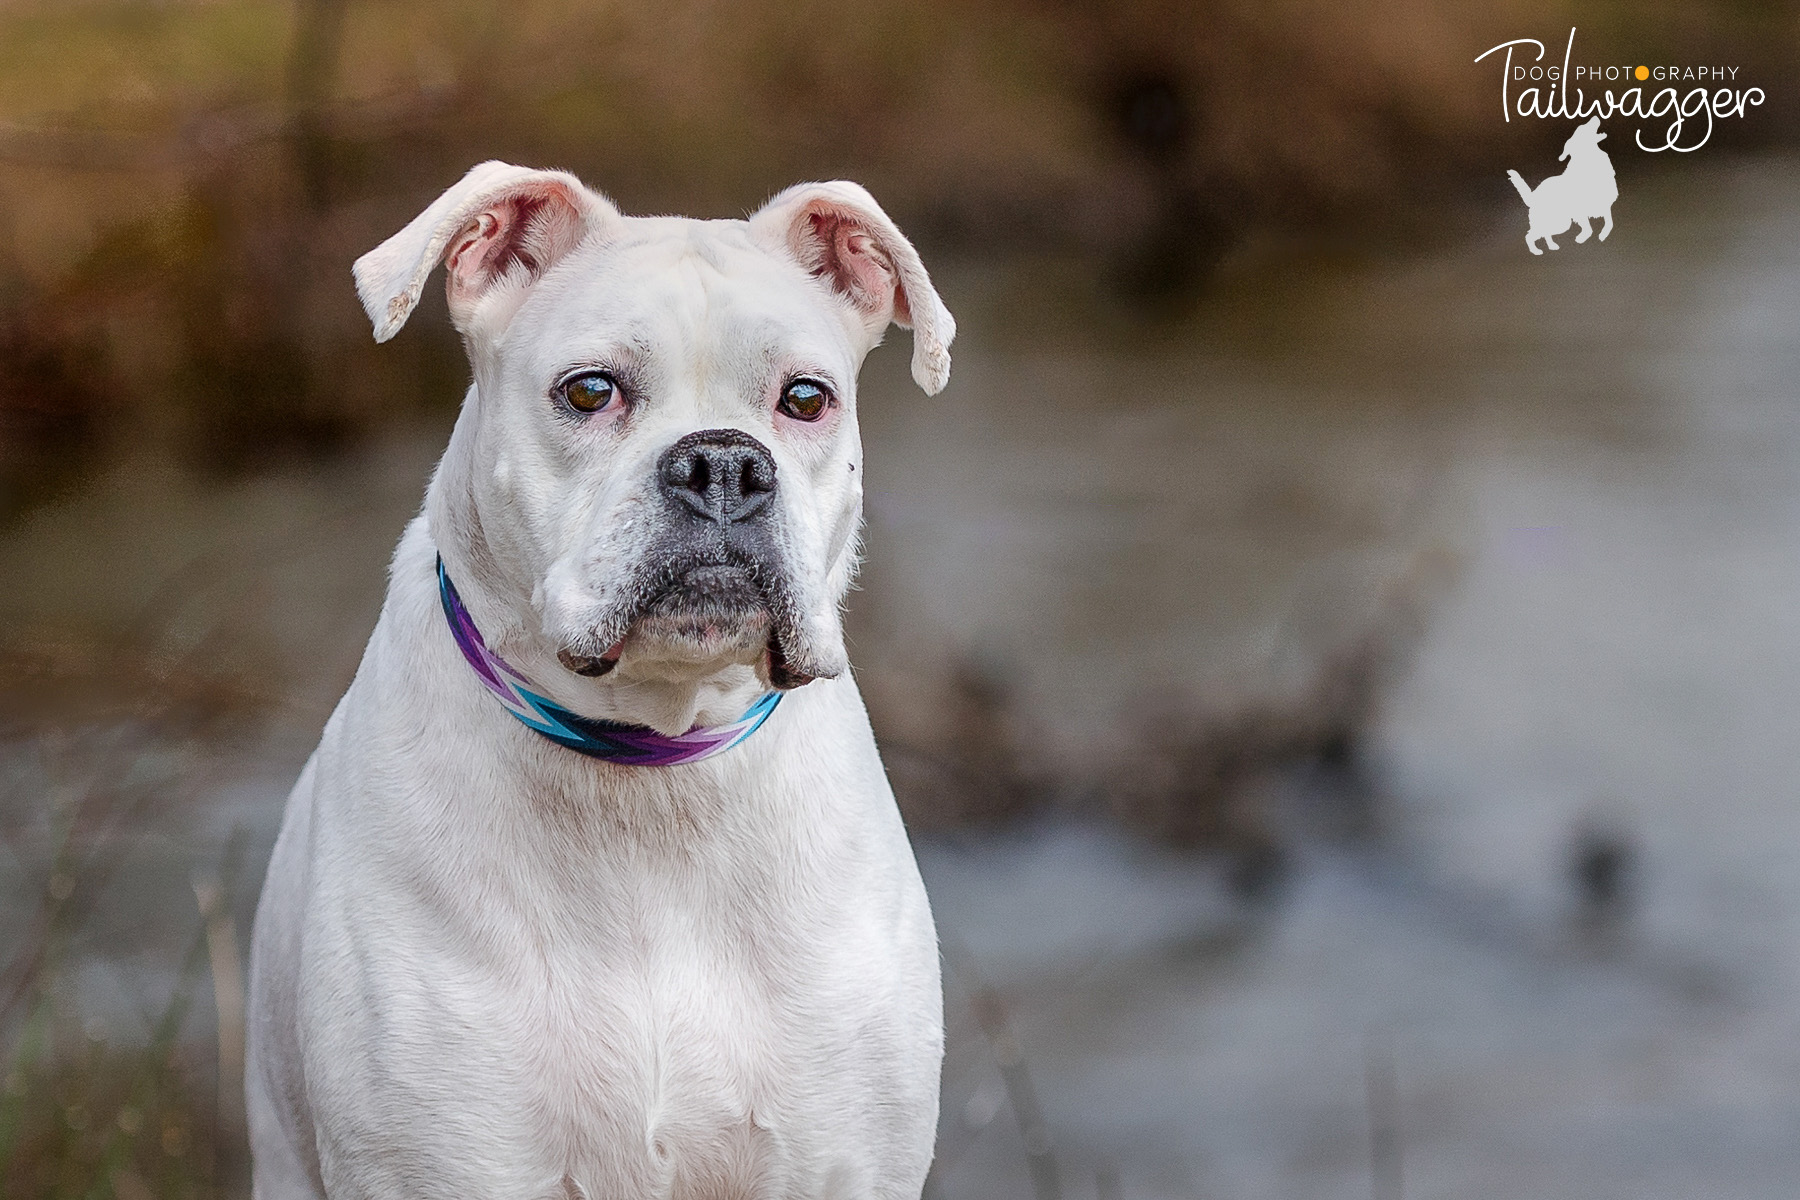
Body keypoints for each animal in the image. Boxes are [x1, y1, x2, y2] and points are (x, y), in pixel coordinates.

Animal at [1504, 116, 1620, 255]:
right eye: (1582, 129)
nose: (1595, 117)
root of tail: (1534, 196)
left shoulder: (1605, 206)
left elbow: (1609, 223)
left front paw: (1602, 235)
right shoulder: (1579, 211)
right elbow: (1588, 227)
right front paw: (1581, 238)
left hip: (1560, 223)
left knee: (1545, 233)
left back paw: (1552, 246)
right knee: (1530, 235)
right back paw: (1535, 251)